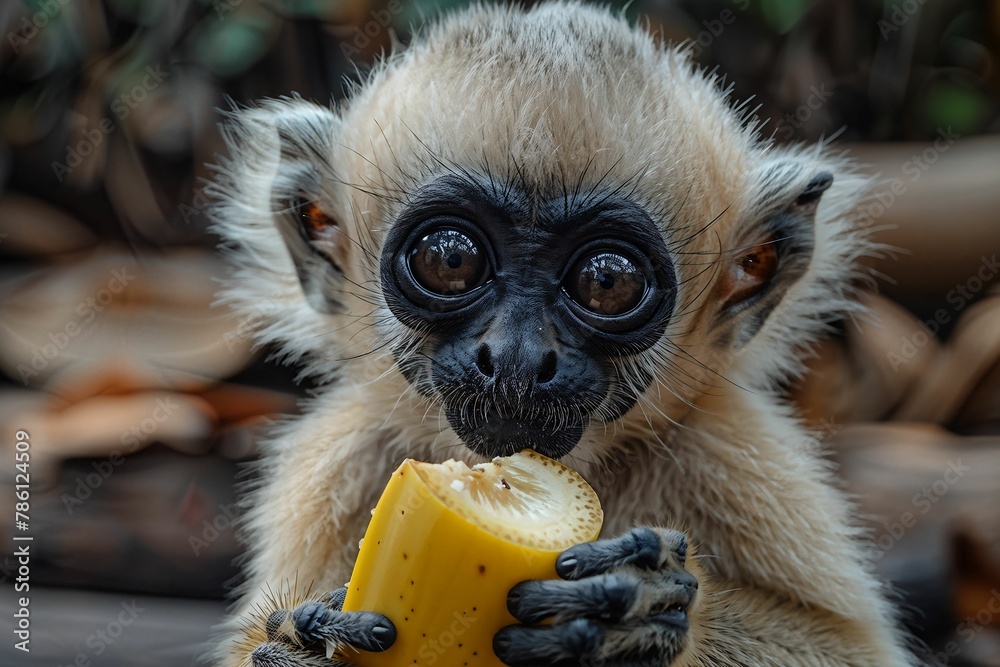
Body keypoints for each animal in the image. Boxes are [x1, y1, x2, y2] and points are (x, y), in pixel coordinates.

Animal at [207, 1, 916, 667]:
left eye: (607, 281)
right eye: (449, 259)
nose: (517, 357)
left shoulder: (736, 456)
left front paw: (644, 617)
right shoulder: (338, 465)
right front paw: (300, 644)